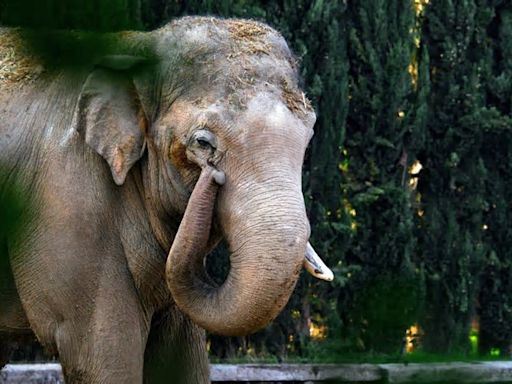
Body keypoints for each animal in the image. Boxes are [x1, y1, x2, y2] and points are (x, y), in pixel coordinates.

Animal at [0, 16, 332, 382]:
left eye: (309, 135)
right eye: (203, 143)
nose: (212, 176)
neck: (138, 48)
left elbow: (180, 357)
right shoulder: (67, 202)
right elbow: (100, 355)